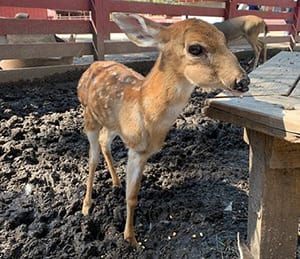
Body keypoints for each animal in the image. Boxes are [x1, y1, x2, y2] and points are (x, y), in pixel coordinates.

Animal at [78, 12, 251, 248]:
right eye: (195, 48)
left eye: (225, 40)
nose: (243, 81)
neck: (143, 108)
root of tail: (89, 68)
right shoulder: (136, 149)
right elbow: (132, 197)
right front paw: (131, 240)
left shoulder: (142, 149)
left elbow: (133, 194)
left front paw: (130, 235)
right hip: (90, 118)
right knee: (92, 157)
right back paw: (86, 207)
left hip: (111, 123)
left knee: (105, 142)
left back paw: (116, 182)